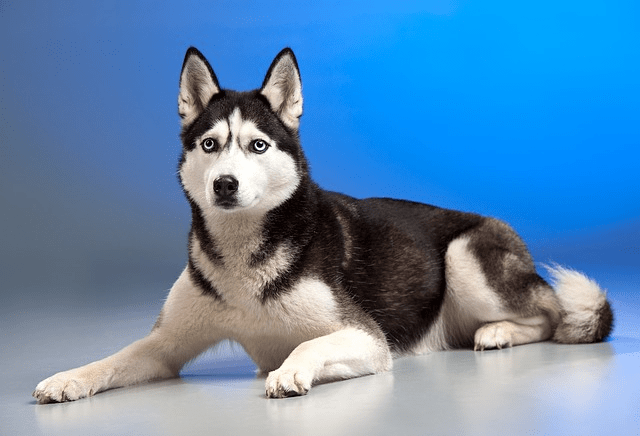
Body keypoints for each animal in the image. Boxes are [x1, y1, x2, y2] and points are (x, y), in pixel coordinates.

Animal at [32, 46, 612, 402]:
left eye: (257, 145)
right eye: (210, 144)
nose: (224, 184)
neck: (243, 258)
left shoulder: (366, 339)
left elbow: (310, 345)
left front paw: (290, 369)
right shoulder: (166, 345)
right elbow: (115, 357)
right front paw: (68, 378)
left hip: (465, 256)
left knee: (551, 314)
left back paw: (499, 332)